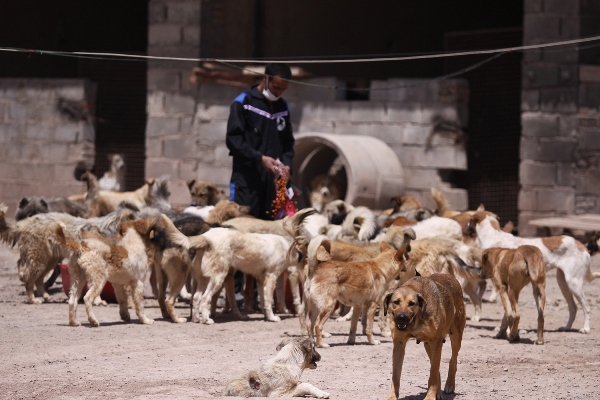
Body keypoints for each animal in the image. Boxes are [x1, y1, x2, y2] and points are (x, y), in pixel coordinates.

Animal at [468, 211, 600, 332]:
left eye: (470, 219)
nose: (466, 228)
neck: (494, 237)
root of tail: (582, 245)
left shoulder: (508, 287)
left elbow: (509, 312)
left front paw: (507, 330)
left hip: (573, 283)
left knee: (586, 308)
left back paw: (585, 328)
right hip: (563, 283)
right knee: (573, 307)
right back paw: (567, 327)